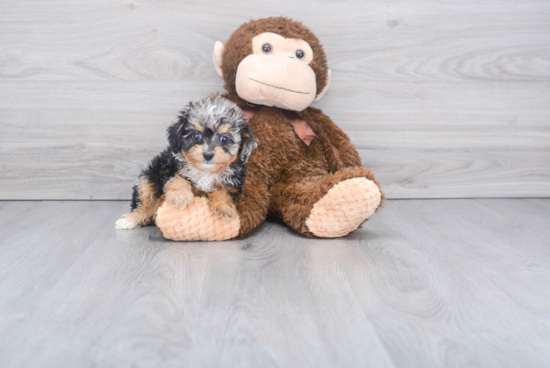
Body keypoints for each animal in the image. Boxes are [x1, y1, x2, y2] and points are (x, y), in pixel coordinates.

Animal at [116, 96, 256, 229]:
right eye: (196, 136)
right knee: (146, 202)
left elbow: (223, 190)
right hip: (147, 177)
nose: (208, 155)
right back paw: (130, 220)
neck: (205, 172)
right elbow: (178, 178)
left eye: (224, 138)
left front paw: (224, 207)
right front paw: (179, 196)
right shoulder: (171, 166)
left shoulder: (233, 183)